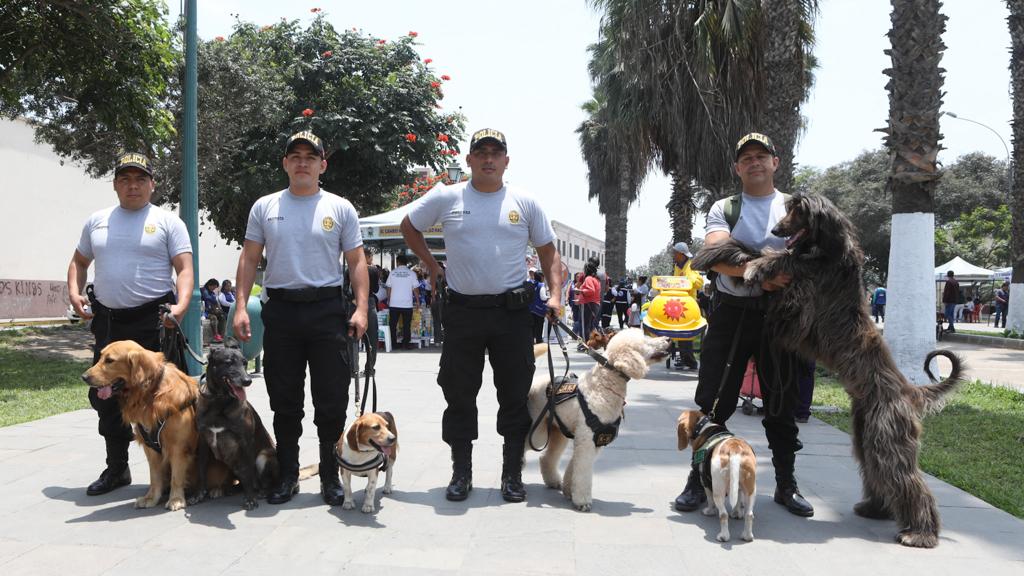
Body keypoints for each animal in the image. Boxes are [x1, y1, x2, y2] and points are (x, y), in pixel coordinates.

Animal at [399, 127, 565, 500]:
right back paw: (461, 480)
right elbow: (409, 225)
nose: (489, 158)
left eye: (495, 151)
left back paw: (513, 481)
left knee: (514, 407)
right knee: (460, 400)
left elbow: (547, 248)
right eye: (482, 150)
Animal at [528, 325, 671, 508]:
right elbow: (583, 471)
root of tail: (533, 382)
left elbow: (575, 467)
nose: (668, 339)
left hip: (558, 432)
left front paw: (569, 491)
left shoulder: (595, 441)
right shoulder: (587, 439)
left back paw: (553, 482)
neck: (604, 386)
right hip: (538, 431)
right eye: (645, 339)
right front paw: (582, 501)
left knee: (546, 457)